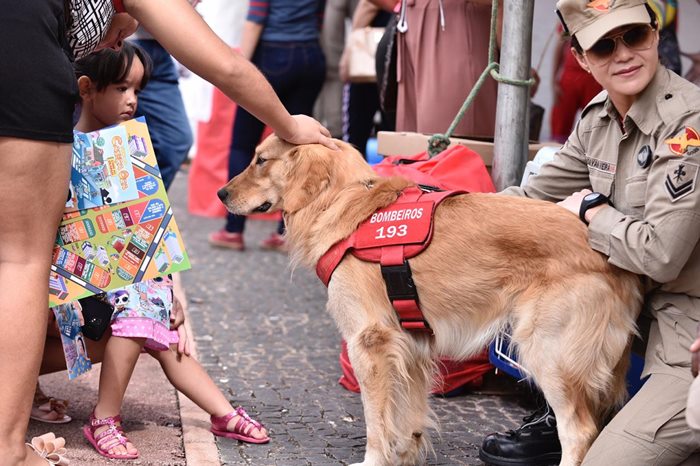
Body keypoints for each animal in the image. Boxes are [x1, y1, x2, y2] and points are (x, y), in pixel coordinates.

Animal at [216, 136, 644, 466]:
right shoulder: (411, 346)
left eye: (261, 160)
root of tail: (610, 254)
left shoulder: (369, 343)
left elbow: (377, 422)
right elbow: (408, 419)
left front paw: (375, 460)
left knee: (580, 432)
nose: (221, 193)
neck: (347, 205)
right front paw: (404, 455)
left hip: (546, 352)